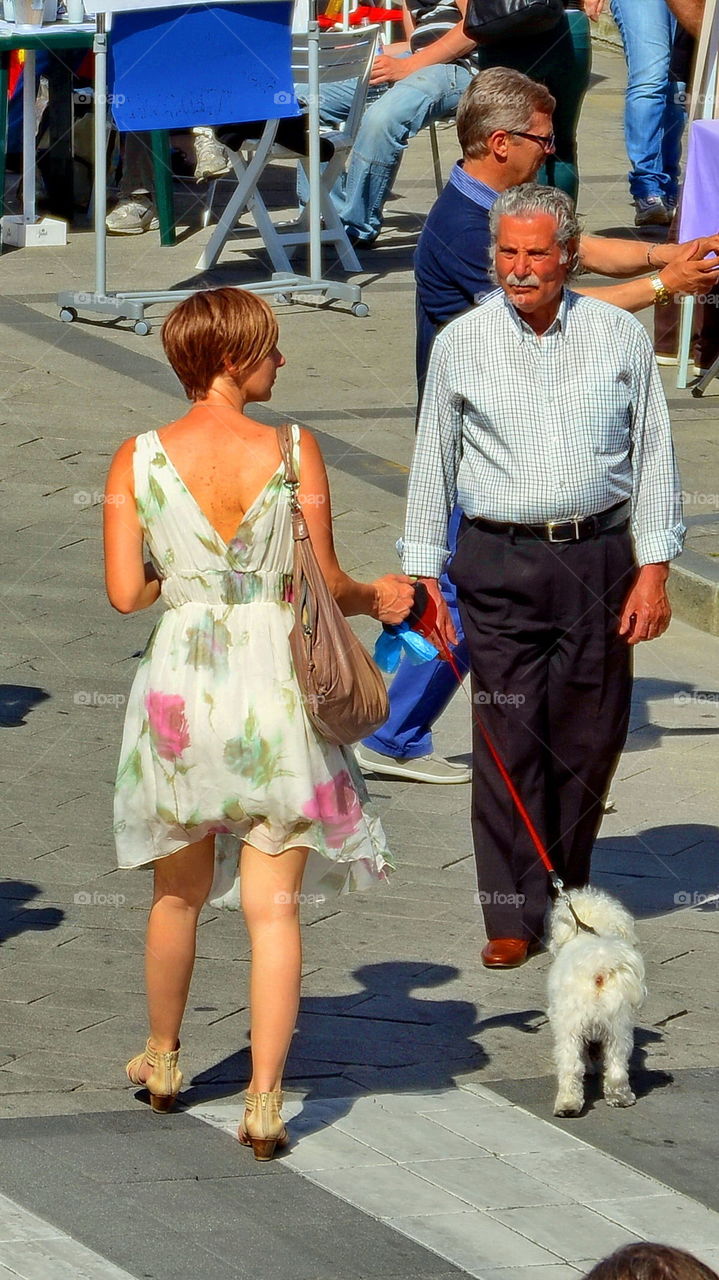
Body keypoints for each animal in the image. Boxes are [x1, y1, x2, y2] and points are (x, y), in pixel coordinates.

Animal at [542, 885, 644, 1116]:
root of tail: (600, 971)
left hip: (570, 1027)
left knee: (571, 1066)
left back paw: (568, 1104)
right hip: (618, 1028)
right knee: (617, 1065)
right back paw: (620, 1097)